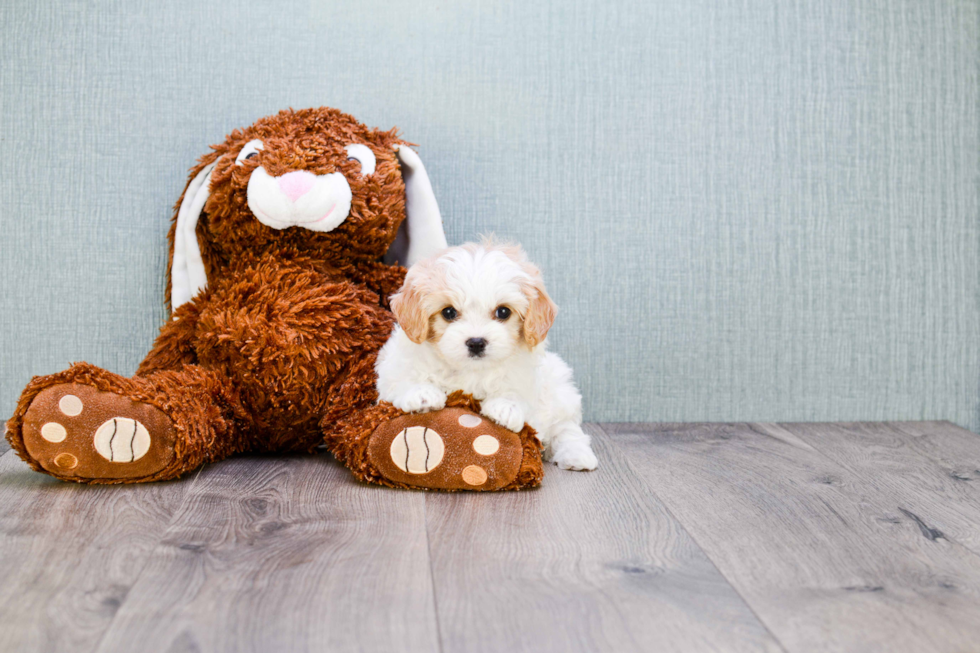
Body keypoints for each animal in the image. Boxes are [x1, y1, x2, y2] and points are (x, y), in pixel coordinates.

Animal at [378, 239, 596, 468]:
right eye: (448, 312)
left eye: (503, 312)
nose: (476, 343)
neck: (470, 370)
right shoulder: (395, 365)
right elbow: (402, 378)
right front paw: (421, 394)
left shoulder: (528, 378)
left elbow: (516, 390)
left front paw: (505, 407)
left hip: (561, 391)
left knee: (566, 428)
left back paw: (576, 455)